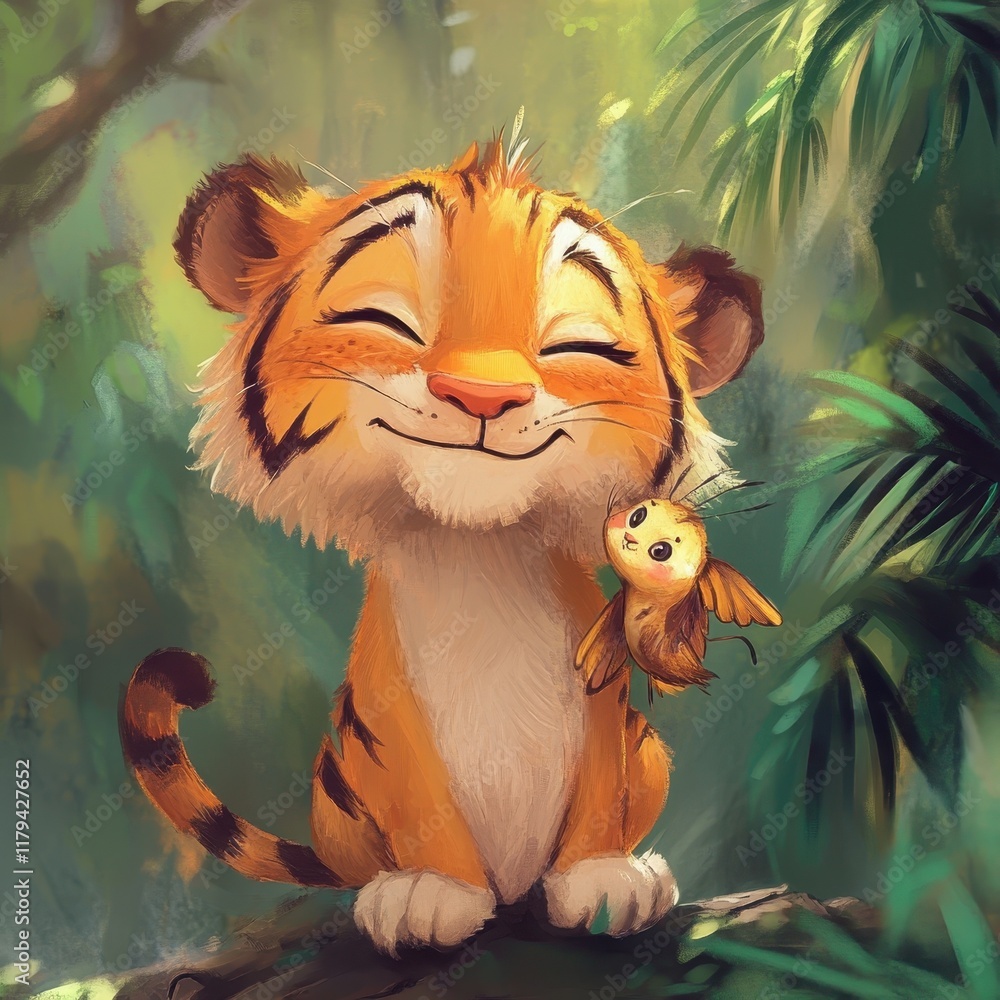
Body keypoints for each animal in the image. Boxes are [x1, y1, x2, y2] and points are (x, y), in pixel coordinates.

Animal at [119, 132, 764, 956]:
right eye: (383, 318)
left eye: (577, 344)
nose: (484, 396)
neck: (476, 551)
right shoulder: (387, 715)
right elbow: (424, 805)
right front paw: (430, 897)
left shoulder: (605, 700)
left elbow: (598, 789)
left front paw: (603, 882)